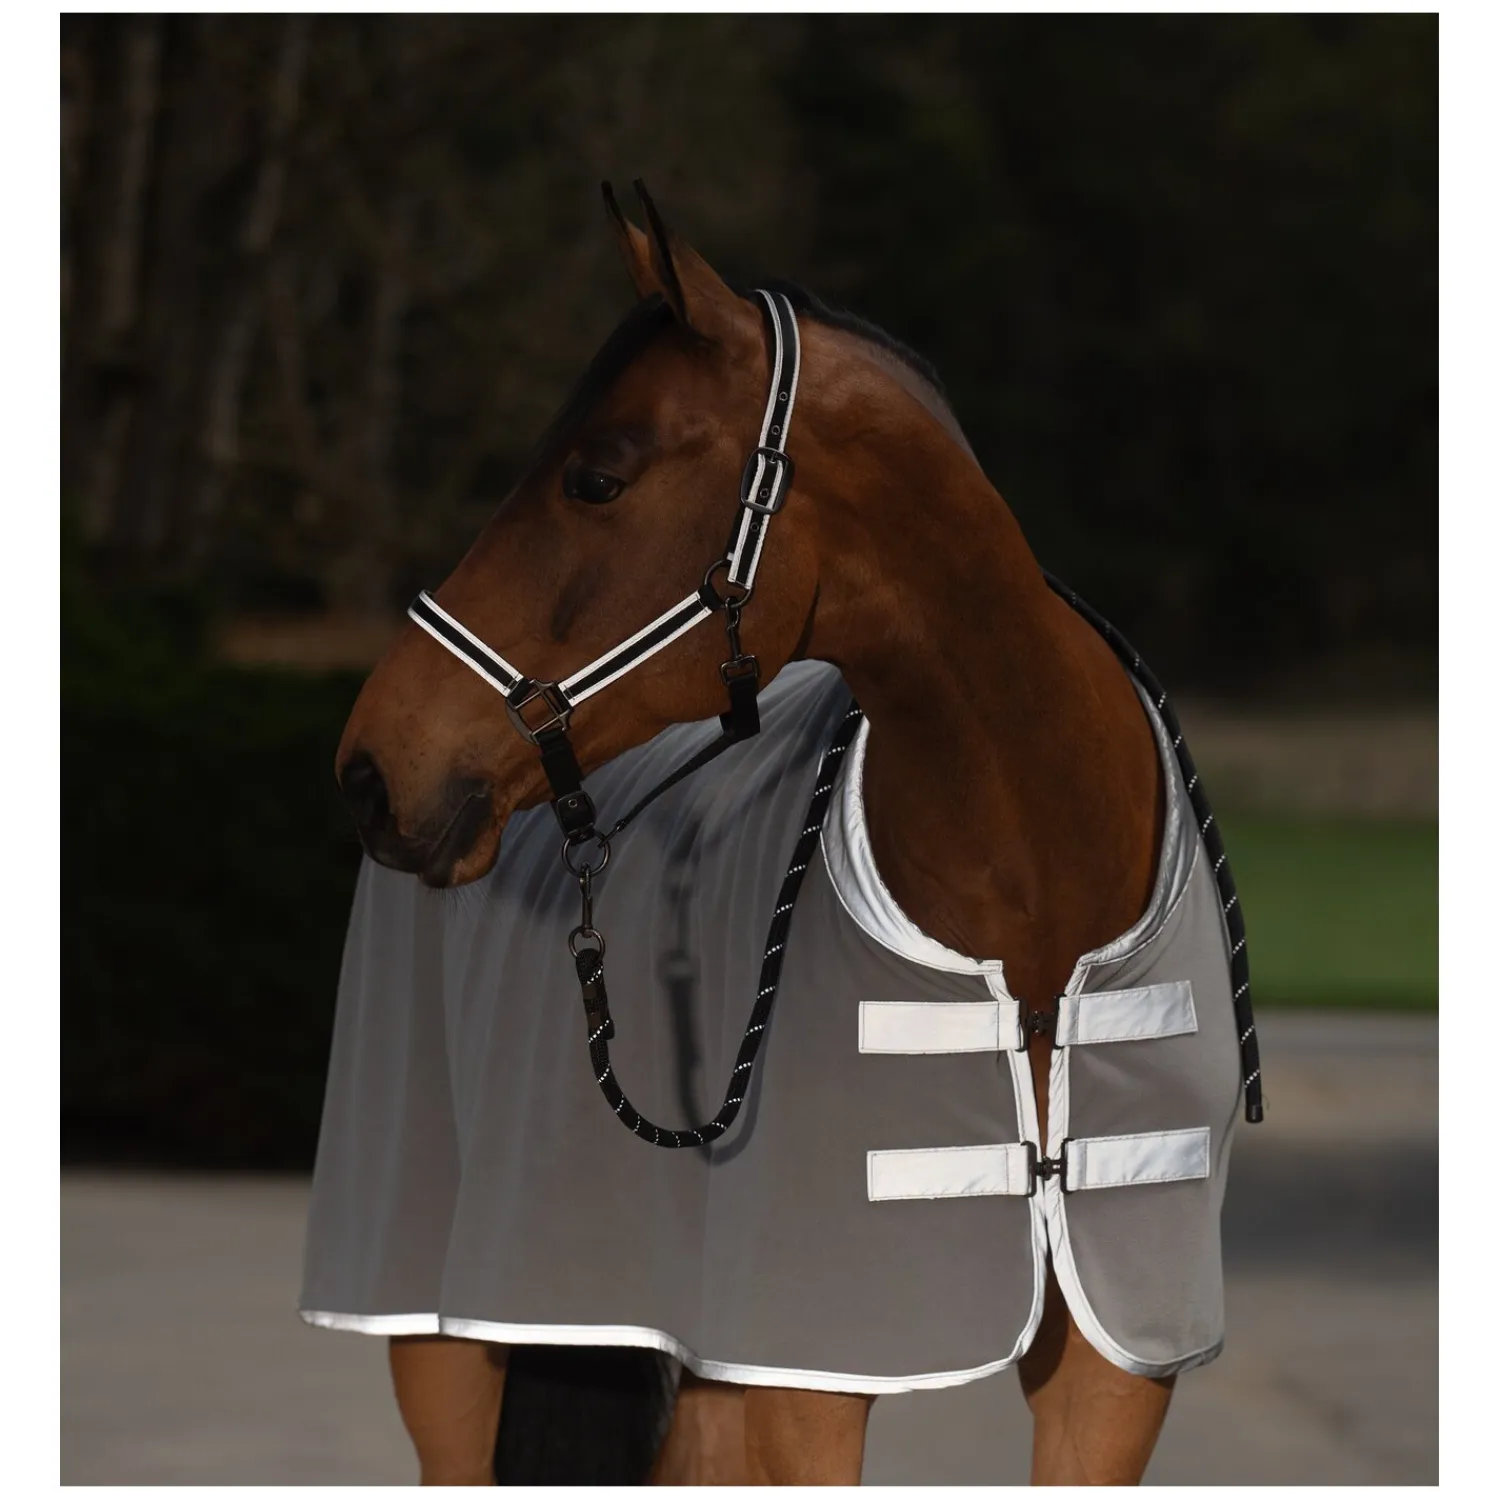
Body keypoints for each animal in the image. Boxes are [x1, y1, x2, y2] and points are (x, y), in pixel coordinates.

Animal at [321, 181, 1257, 1485]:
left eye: (596, 479)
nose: (373, 770)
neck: (1037, 896)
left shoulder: (1118, 1361)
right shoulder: (807, 1361)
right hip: (442, 1333)